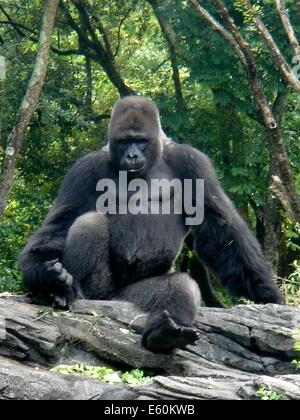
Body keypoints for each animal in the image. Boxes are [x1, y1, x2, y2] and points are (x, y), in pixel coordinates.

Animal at [18, 97, 284, 352]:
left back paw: (165, 334)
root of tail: (112, 301)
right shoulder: (83, 169)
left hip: (130, 298)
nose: (132, 155)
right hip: (101, 294)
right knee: (88, 223)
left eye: (140, 141)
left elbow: (220, 229)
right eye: (125, 141)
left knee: (179, 286)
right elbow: (62, 222)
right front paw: (47, 277)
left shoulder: (192, 162)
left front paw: (265, 293)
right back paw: (65, 293)